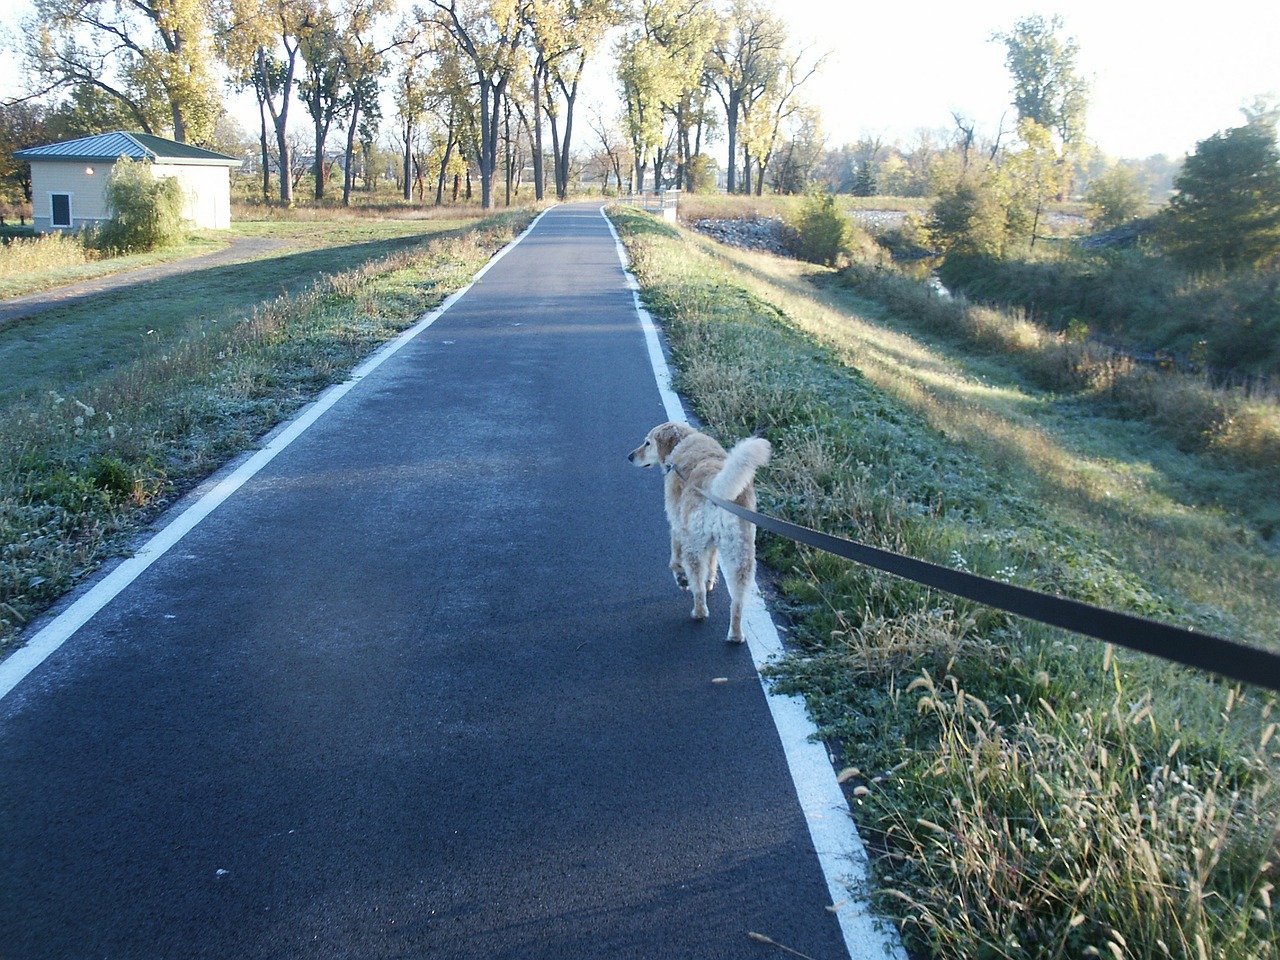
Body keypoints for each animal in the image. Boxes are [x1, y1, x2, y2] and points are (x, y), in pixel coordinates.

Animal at [629, 422, 768, 642]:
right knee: (737, 602)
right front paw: (710, 581)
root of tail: (717, 488)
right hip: (741, 555)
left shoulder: (677, 524)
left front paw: (680, 577)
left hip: (694, 547)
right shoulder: (711, 543)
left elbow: (674, 557)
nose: (630, 456)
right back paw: (736, 635)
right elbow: (712, 563)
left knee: (698, 588)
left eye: (647, 443)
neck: (683, 441)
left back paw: (698, 612)